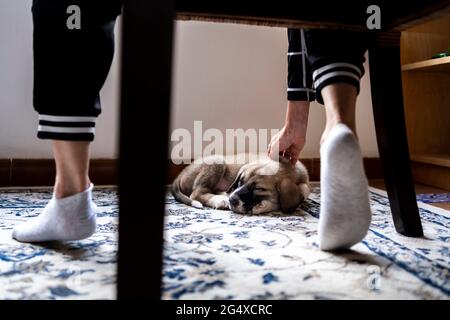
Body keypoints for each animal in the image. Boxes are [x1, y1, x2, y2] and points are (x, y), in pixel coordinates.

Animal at [172, 154, 310, 214]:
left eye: (258, 188)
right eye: (240, 181)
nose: (232, 200)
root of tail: (180, 174)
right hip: (217, 161)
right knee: (196, 193)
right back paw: (221, 200)